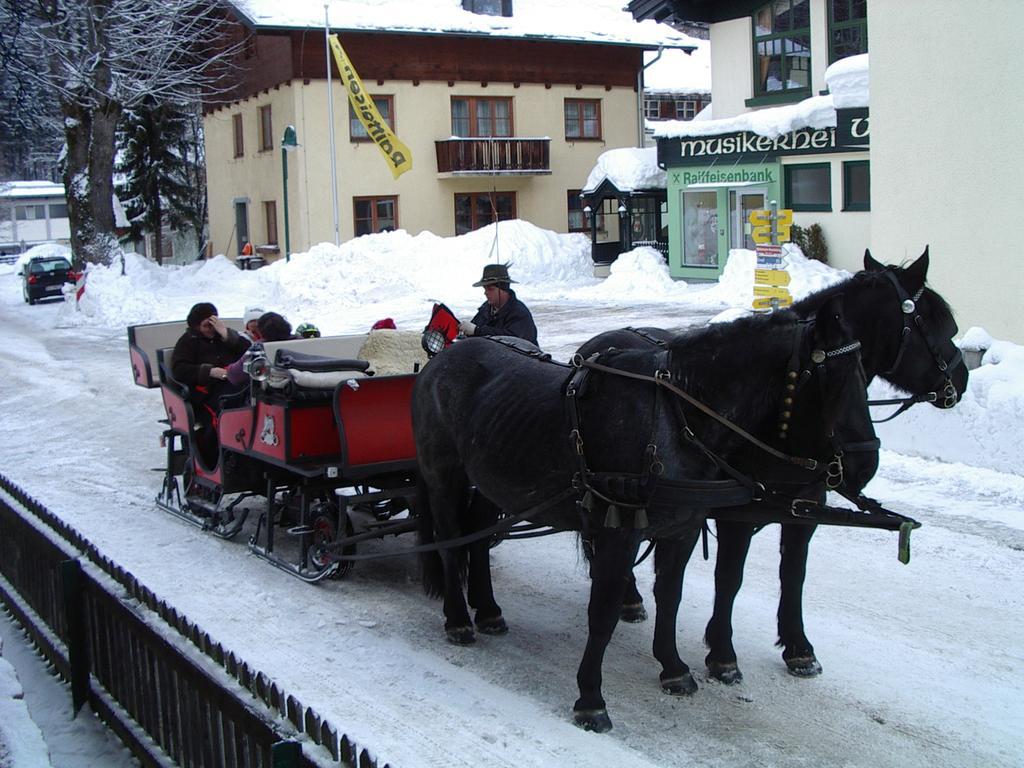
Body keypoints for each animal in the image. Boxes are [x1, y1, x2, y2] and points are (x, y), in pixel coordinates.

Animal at [411, 296, 876, 729]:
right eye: (830, 378)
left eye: (863, 372)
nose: (863, 465)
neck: (677, 417)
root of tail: (441, 359)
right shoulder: (619, 532)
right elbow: (603, 611)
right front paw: (591, 699)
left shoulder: (682, 529)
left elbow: (671, 596)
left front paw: (673, 668)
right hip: (443, 475)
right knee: (451, 542)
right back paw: (458, 619)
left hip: (495, 482)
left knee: (477, 537)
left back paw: (488, 610)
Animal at [577, 247, 966, 684]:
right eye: (941, 325)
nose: (961, 380)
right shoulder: (738, 512)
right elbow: (730, 578)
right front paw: (723, 653)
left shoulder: (805, 507)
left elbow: (793, 574)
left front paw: (798, 647)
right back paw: (628, 597)